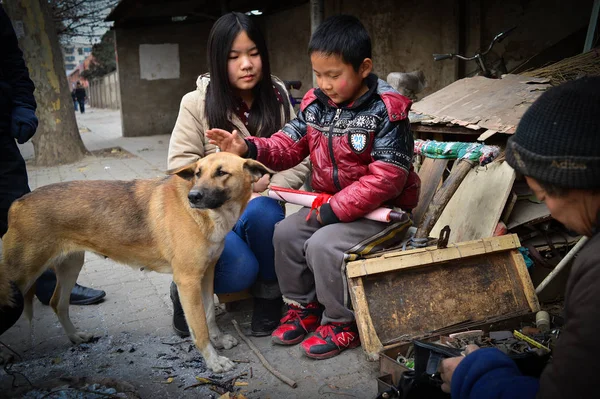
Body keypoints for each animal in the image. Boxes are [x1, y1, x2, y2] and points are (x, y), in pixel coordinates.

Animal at [0, 153, 272, 376]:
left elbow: (208, 315)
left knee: (58, 303)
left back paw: (75, 336)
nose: (193, 196)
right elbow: (199, 327)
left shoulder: (206, 275)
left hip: (71, 265)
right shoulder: (188, 280)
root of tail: (17, 203)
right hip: (19, 277)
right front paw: (213, 360)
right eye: (197, 173)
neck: (210, 216)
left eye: (221, 172)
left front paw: (219, 339)